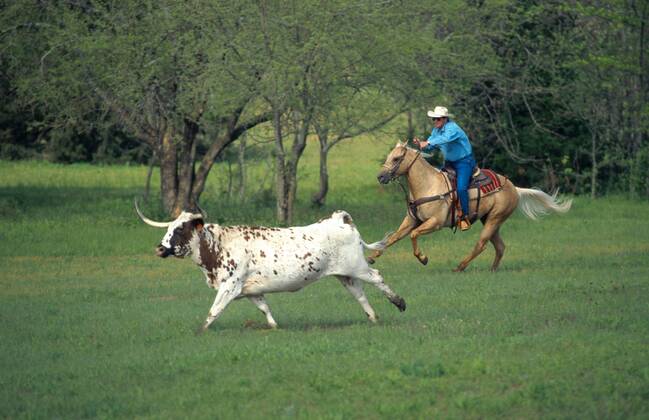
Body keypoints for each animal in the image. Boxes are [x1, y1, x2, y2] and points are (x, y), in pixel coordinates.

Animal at [135, 202, 406, 333]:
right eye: (170, 227)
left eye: (181, 229)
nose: (159, 249)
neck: (219, 245)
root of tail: (338, 219)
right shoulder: (251, 291)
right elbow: (265, 309)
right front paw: (275, 327)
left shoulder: (230, 287)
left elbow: (214, 311)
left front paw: (200, 331)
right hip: (345, 275)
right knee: (359, 294)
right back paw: (373, 318)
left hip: (358, 267)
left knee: (377, 277)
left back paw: (399, 302)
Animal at [371, 141, 572, 272]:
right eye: (389, 156)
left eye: (397, 158)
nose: (380, 177)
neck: (428, 186)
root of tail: (514, 187)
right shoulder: (411, 220)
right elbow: (393, 238)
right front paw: (372, 257)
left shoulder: (435, 223)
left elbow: (413, 235)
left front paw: (423, 258)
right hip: (490, 220)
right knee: (500, 246)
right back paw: (492, 270)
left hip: (495, 218)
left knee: (481, 244)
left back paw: (460, 267)